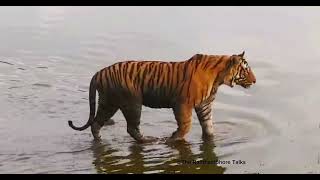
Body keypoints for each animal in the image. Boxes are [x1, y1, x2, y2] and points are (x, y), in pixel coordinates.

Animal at [69, 51, 256, 143]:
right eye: (246, 69)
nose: (254, 80)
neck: (219, 79)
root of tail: (99, 72)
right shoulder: (183, 103)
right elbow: (186, 125)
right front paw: (173, 139)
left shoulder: (204, 105)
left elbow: (208, 125)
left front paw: (211, 138)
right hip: (132, 102)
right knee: (131, 127)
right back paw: (149, 141)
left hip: (109, 102)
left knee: (96, 123)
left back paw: (99, 140)